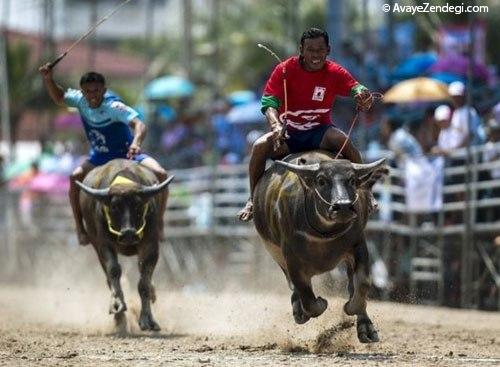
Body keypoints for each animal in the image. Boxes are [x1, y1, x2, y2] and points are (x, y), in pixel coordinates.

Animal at [75, 160, 174, 332]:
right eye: (114, 206)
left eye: (138, 205)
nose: (128, 234)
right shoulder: (104, 244)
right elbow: (114, 271)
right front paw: (117, 306)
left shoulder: (151, 245)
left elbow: (143, 283)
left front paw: (148, 320)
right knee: (109, 279)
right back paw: (119, 321)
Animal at [254, 151, 386, 344]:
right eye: (321, 180)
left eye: (352, 180)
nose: (343, 206)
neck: (325, 232)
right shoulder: (291, 258)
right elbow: (307, 297)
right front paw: (318, 304)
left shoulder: (358, 245)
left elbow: (362, 283)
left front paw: (351, 307)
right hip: (276, 255)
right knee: (293, 286)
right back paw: (298, 310)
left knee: (352, 285)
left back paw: (366, 328)